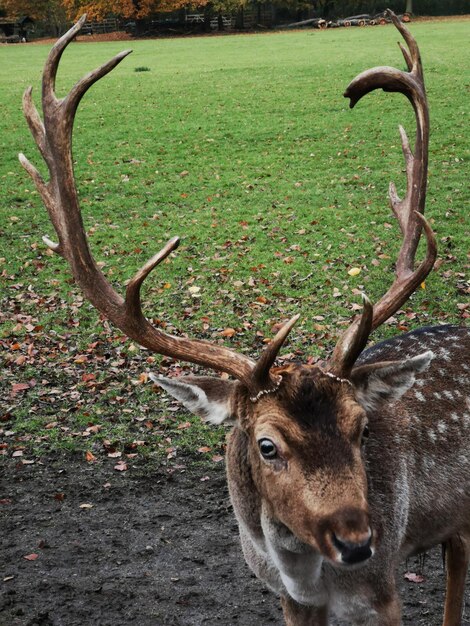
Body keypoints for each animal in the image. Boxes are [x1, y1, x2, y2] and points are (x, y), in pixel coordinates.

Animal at [20, 11, 468, 624]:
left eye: (362, 426)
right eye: (267, 444)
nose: (358, 542)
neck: (307, 576)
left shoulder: (382, 593)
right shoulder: (290, 599)